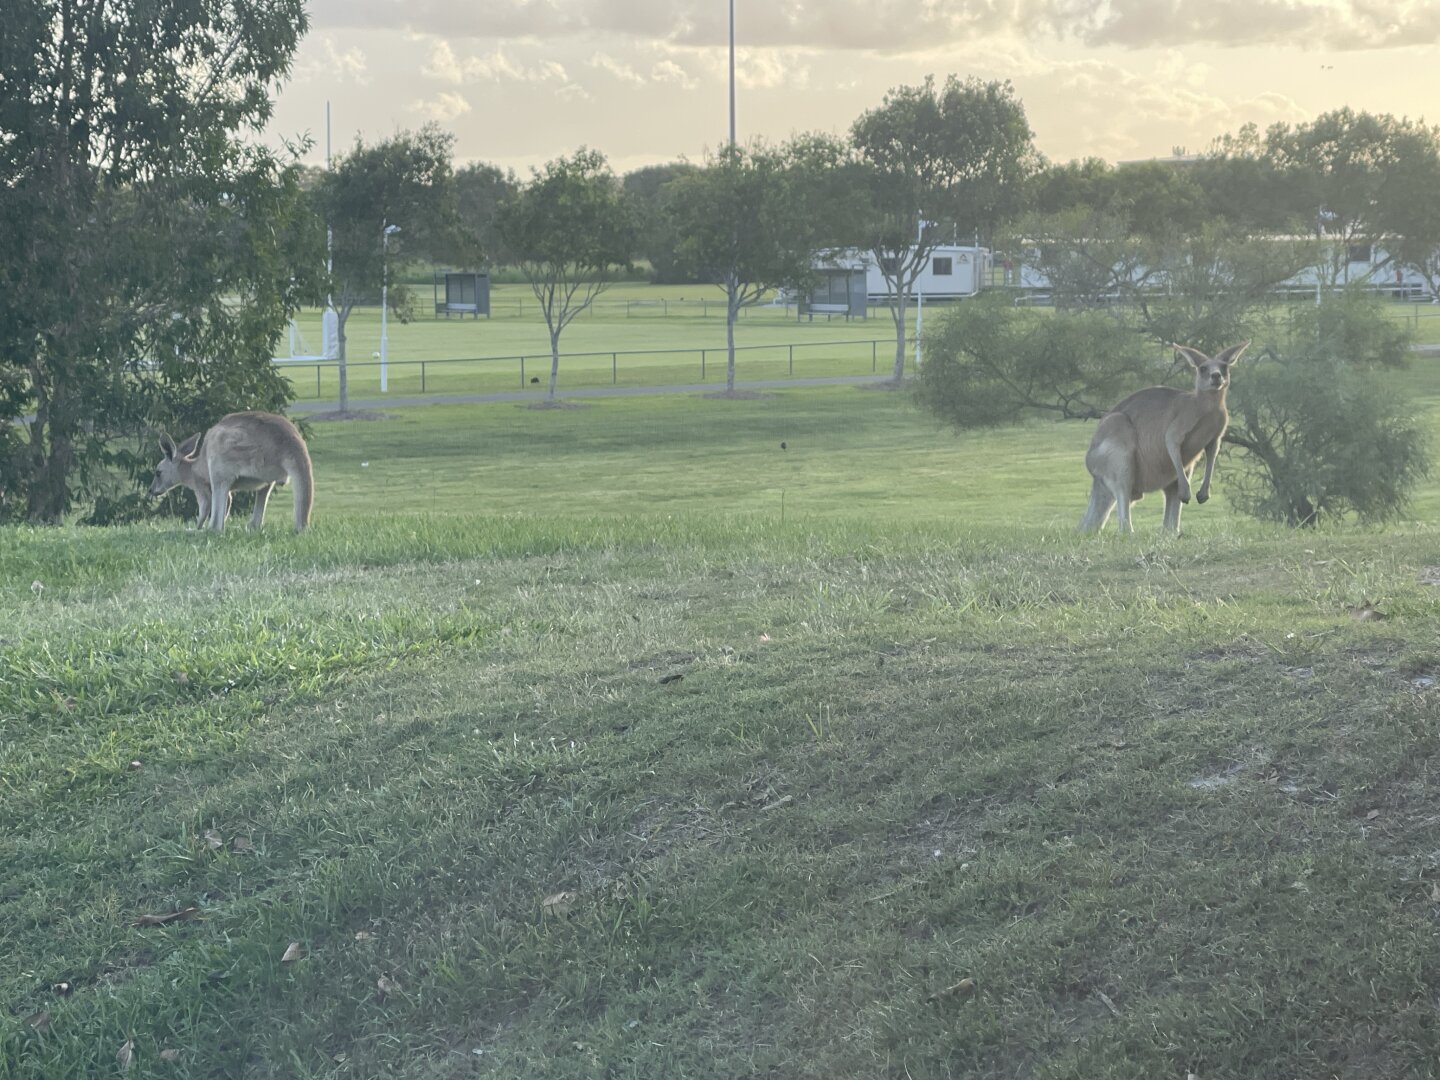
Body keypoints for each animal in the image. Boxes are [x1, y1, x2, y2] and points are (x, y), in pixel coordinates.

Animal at [149, 411, 313, 532]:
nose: (150, 490)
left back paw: (194, 531)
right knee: (256, 516)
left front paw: (198, 526)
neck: (191, 469)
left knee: (216, 527)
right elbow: (228, 502)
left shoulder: (200, 485)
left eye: (158, 472)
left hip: (223, 455)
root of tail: (292, 443)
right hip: (265, 475)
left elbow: (205, 507)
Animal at [1079, 342, 1249, 535]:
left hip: (1177, 471)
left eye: (1224, 367)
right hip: (1118, 444)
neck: (1206, 406)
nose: (1216, 376)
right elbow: (1171, 441)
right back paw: (1133, 532)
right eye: (1203, 368)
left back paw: (1172, 533)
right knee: (1124, 494)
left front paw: (1203, 493)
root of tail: (1095, 474)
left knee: (1170, 506)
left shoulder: (1215, 436)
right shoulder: (1180, 423)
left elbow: (1212, 454)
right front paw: (1189, 493)